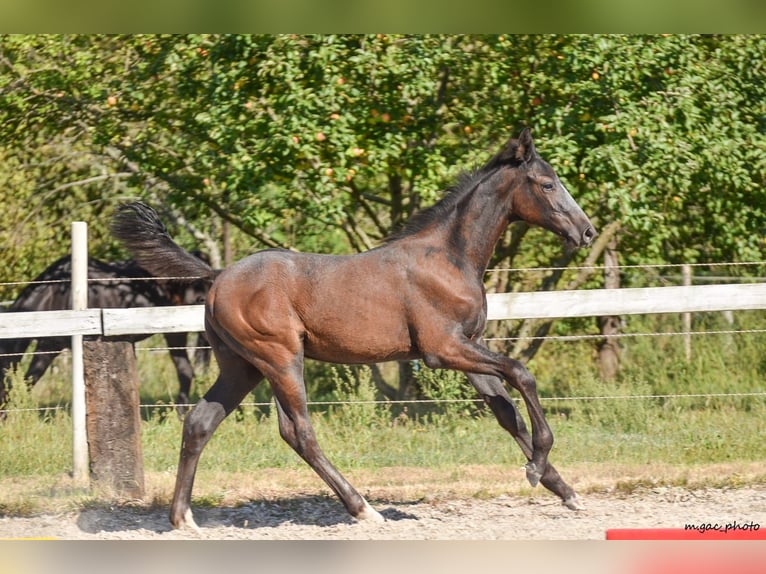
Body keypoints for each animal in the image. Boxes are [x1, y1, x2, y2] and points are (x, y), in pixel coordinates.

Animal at [112, 128, 596, 529]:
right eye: (547, 183)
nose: (587, 232)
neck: (448, 259)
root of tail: (217, 276)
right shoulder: (443, 349)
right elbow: (522, 373)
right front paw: (538, 464)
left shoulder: (467, 347)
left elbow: (505, 411)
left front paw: (562, 488)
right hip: (280, 358)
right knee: (299, 432)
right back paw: (363, 508)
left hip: (241, 367)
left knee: (200, 421)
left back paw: (183, 518)